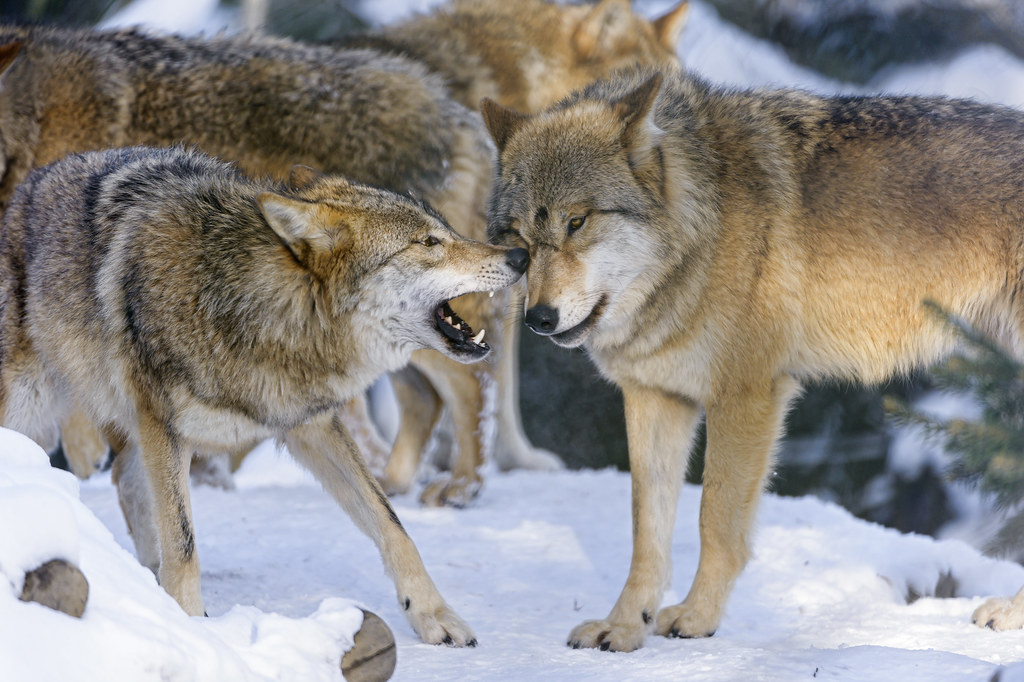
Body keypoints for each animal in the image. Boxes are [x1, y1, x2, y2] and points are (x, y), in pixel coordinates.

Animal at [0, 145, 528, 644]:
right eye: (429, 243)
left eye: (447, 230)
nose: (521, 256)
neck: (258, 308)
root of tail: (26, 185)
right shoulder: (166, 431)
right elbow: (185, 545)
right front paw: (195, 631)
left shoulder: (312, 426)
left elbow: (393, 525)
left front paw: (432, 615)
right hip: (31, 412)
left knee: (126, 485)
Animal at [481, 65, 1024, 650]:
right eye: (519, 239)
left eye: (577, 222)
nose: (538, 318)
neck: (701, 233)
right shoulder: (654, 396)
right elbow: (646, 534)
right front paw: (624, 626)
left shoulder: (747, 396)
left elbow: (715, 521)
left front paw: (697, 618)